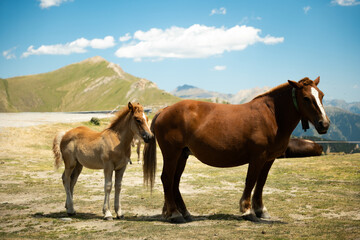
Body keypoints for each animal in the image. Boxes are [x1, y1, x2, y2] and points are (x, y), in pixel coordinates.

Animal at [143, 77, 330, 223]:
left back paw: (183, 212)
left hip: (182, 155)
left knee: (175, 182)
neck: (271, 116)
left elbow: (261, 182)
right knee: (167, 179)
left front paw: (261, 210)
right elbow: (251, 181)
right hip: (172, 154)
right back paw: (175, 214)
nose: (324, 124)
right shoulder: (258, 157)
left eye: (321, 95)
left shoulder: (269, 159)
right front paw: (247, 210)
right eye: (306, 98)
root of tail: (164, 110)